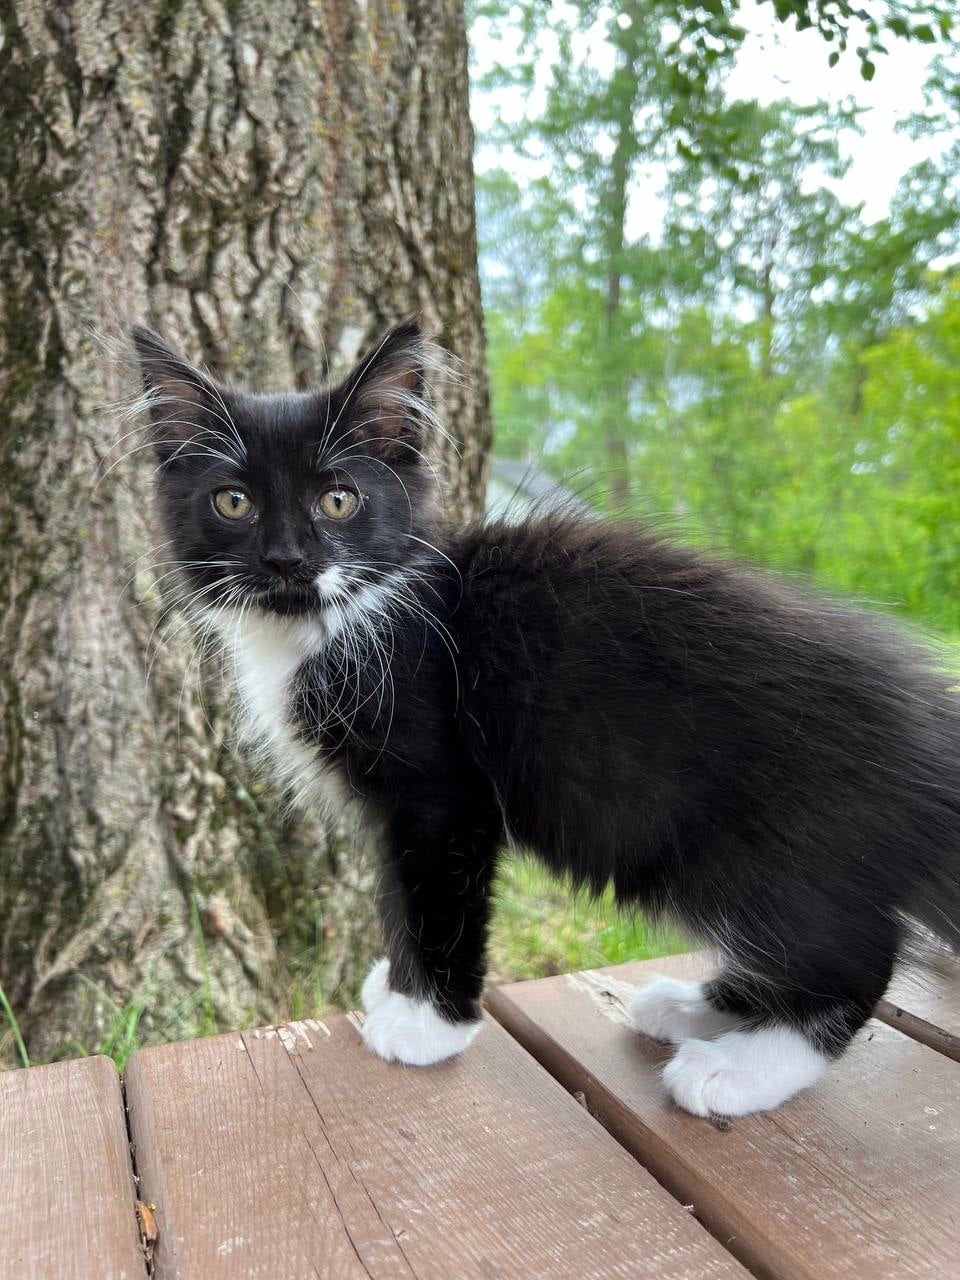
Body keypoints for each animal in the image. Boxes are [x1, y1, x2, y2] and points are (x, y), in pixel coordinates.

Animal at [133, 322, 960, 1121]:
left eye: (339, 501)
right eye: (232, 502)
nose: (286, 560)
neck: (334, 624)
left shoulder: (441, 791)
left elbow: (437, 899)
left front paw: (426, 1022)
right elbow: (398, 896)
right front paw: (397, 987)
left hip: (756, 847)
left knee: (856, 959)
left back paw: (742, 1067)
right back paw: (698, 1008)